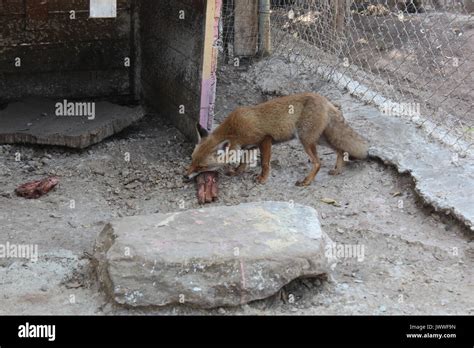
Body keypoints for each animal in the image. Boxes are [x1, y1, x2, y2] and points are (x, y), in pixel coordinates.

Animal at [184, 92, 366, 185]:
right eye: (192, 160)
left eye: (201, 167)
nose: (185, 176)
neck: (235, 129)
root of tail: (325, 100)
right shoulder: (249, 146)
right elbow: (243, 162)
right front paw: (236, 172)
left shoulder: (265, 140)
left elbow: (265, 164)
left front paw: (262, 179)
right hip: (320, 139)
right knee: (340, 149)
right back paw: (338, 170)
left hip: (306, 141)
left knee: (318, 162)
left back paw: (306, 181)